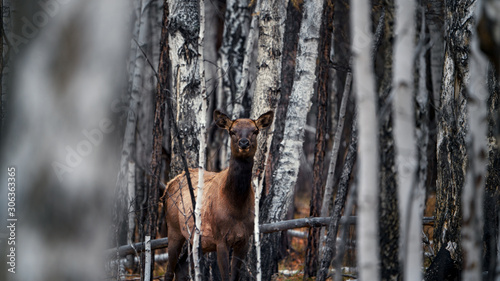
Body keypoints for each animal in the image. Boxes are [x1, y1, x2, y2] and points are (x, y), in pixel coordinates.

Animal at [162, 109, 274, 280]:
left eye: (255, 131)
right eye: (232, 131)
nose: (243, 143)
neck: (236, 206)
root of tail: (169, 185)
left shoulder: (244, 239)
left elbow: (234, 276)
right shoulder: (220, 238)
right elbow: (225, 277)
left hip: (195, 241)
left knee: (181, 267)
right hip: (173, 228)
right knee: (169, 270)